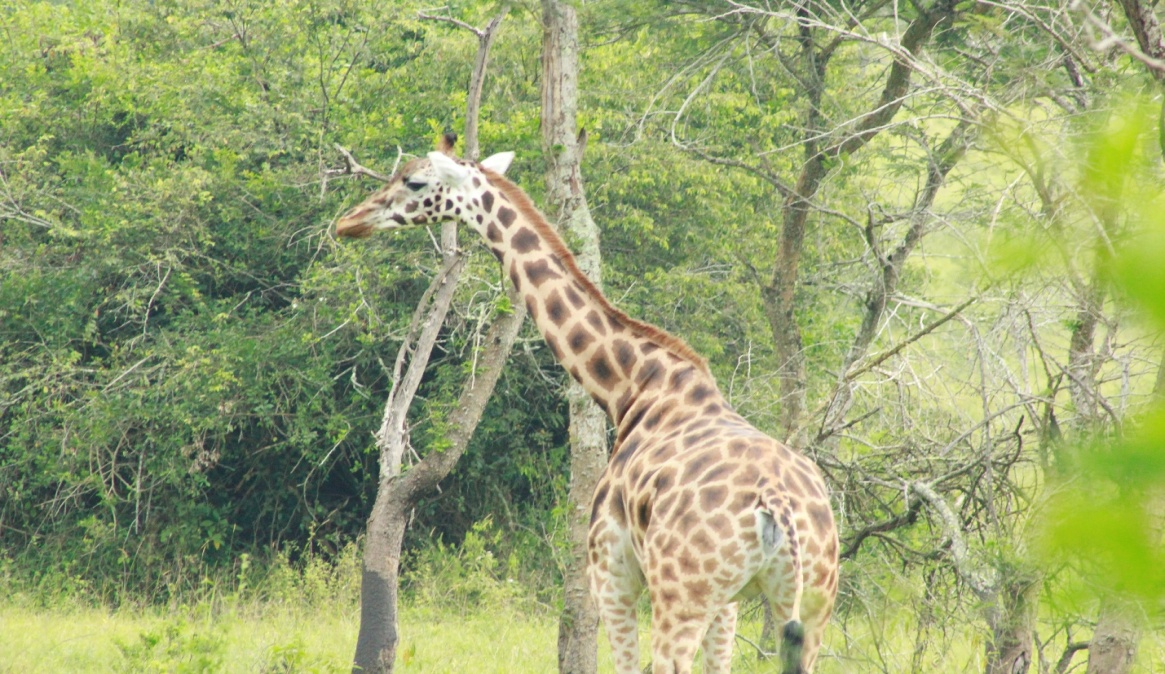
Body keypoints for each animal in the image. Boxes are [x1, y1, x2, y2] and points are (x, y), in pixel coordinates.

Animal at [337, 138, 838, 674]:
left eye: (413, 181)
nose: (348, 223)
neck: (632, 388)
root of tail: (778, 506)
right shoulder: (727, 604)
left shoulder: (611, 572)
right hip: (810, 602)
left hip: (683, 594)